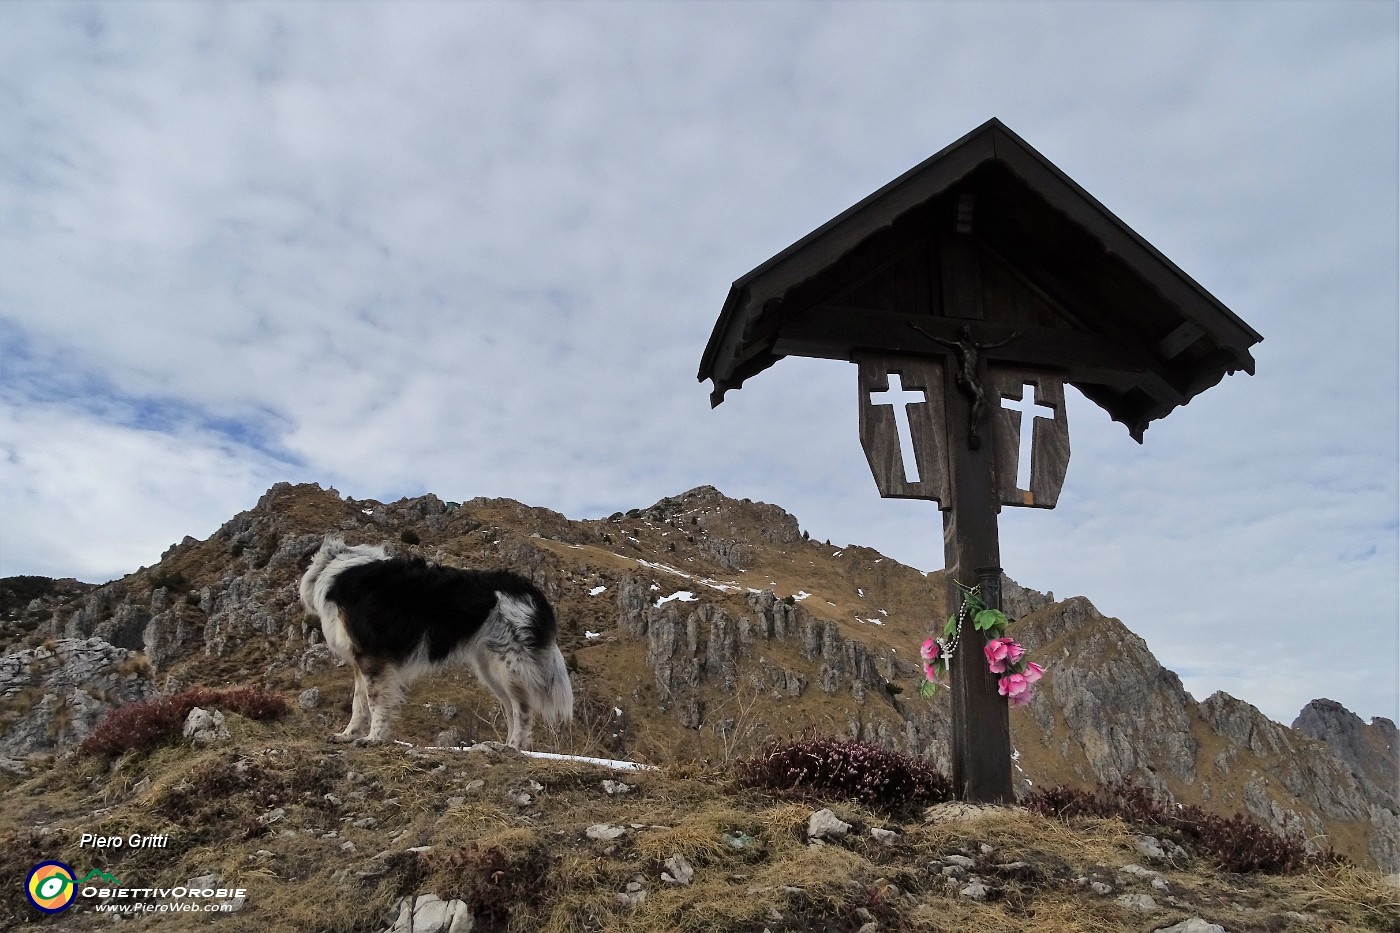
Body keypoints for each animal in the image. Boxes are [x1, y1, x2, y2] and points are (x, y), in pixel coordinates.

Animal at [301, 535, 574, 745]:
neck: (334, 567)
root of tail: (532, 592)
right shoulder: (360, 659)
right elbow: (358, 702)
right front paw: (347, 735)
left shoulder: (372, 656)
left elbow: (375, 701)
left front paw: (373, 738)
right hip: (491, 669)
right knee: (510, 708)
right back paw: (502, 746)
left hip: (509, 665)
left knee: (523, 708)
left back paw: (514, 747)